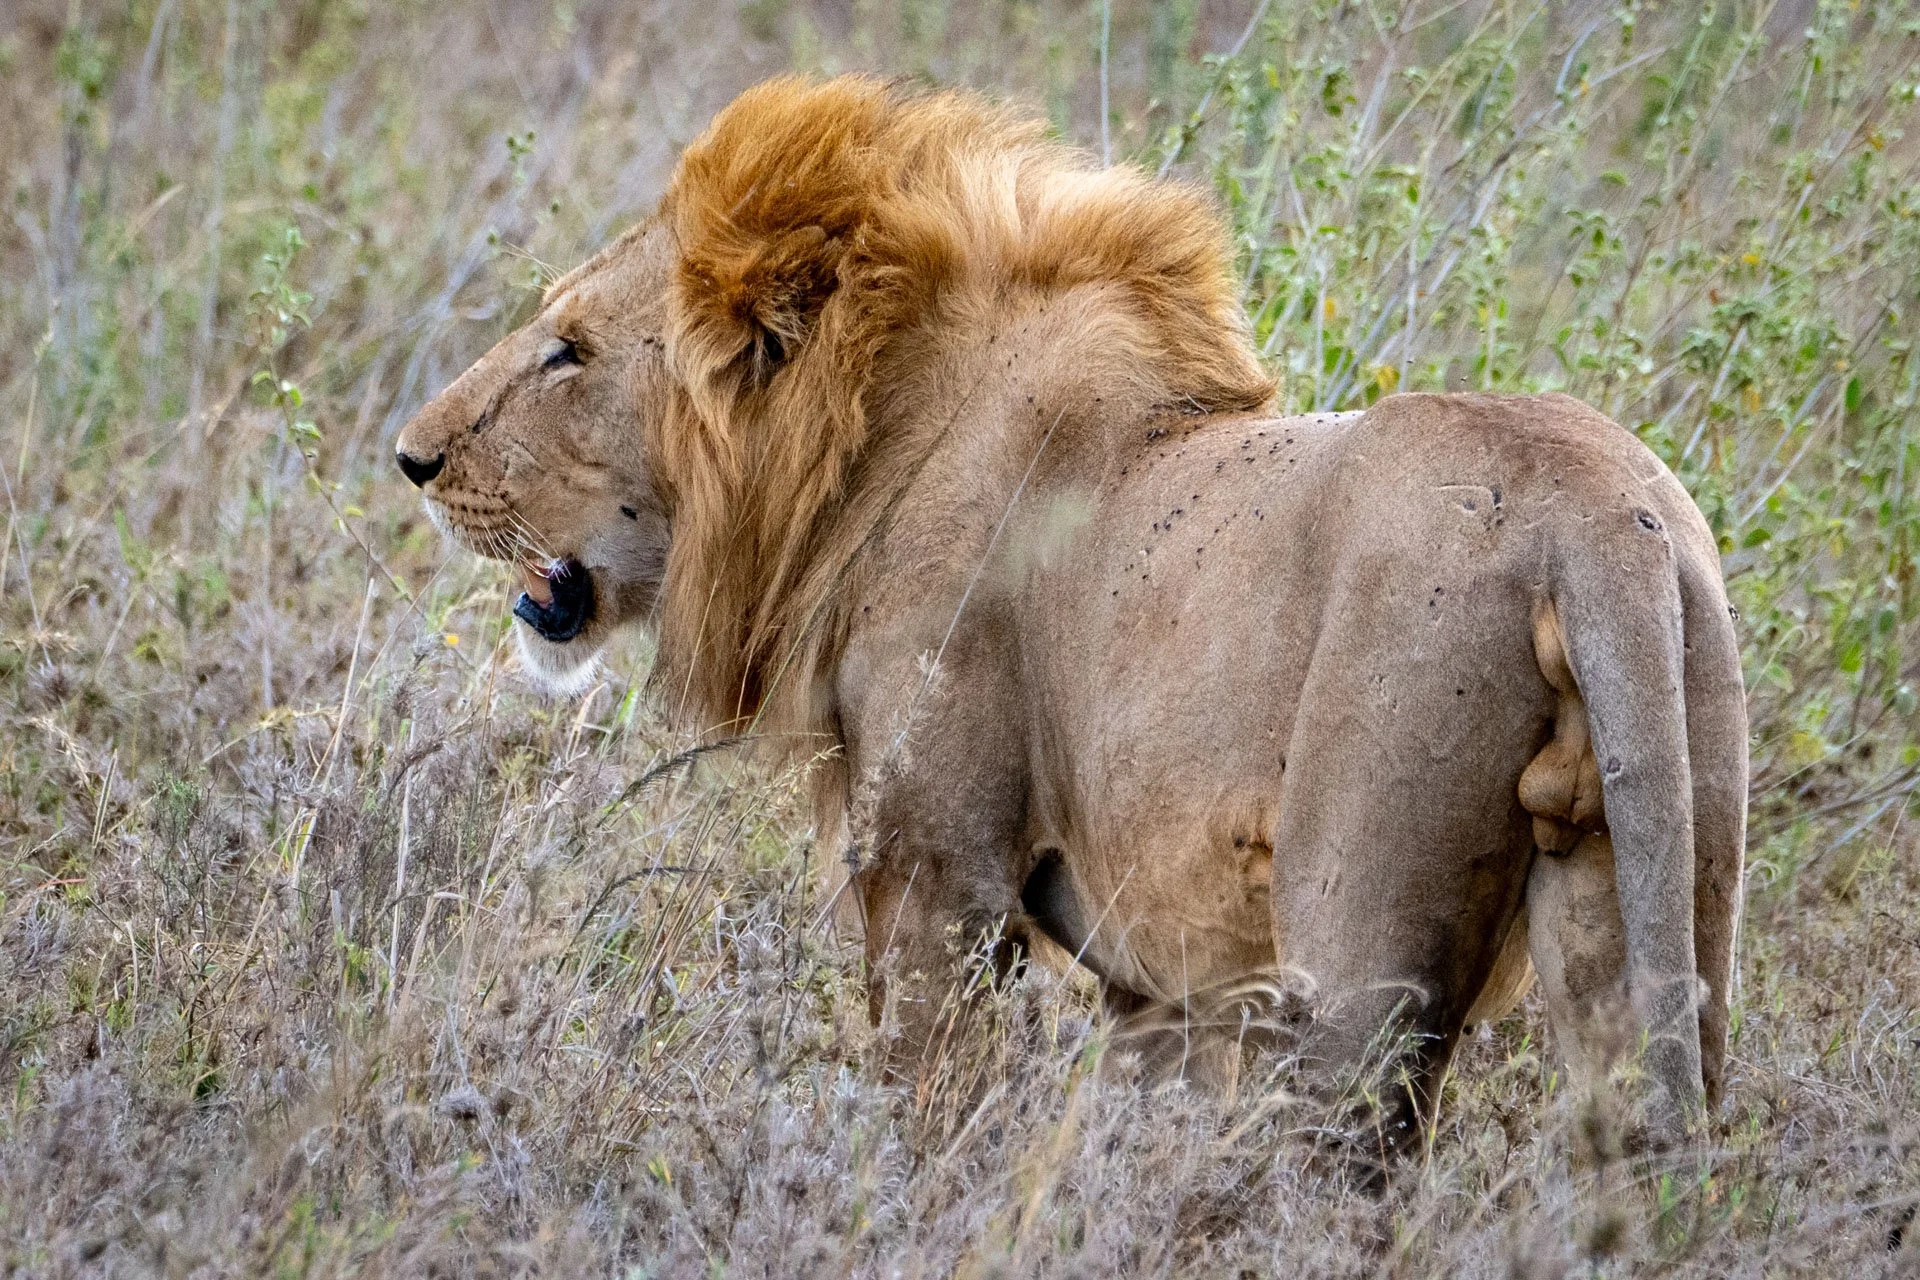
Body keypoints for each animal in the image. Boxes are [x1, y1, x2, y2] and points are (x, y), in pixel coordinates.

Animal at [395, 75, 1746, 1144]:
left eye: (568, 350)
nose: (410, 457)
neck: (871, 447)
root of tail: (1597, 512)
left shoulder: (940, 873)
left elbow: (922, 1094)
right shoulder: (1156, 975)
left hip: (1357, 964)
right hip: (1651, 903)